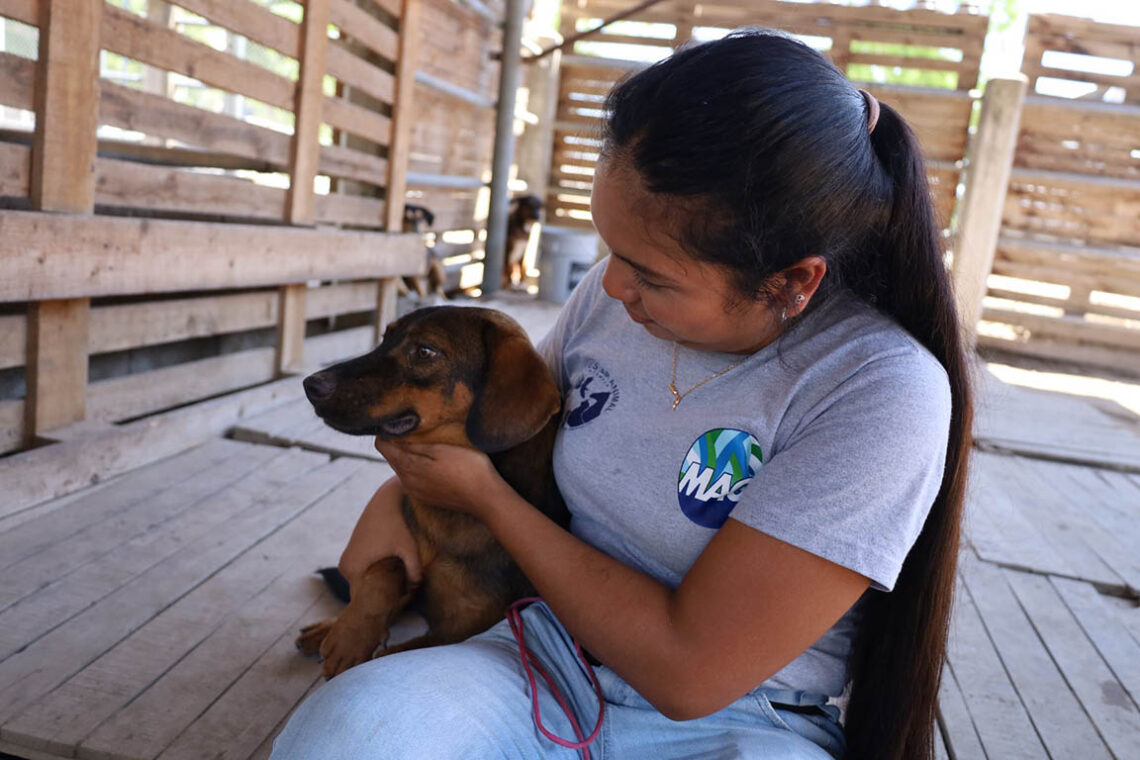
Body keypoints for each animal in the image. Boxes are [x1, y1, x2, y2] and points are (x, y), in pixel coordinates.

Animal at [296, 306, 568, 678]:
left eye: (425, 352)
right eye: (385, 337)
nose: (311, 384)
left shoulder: (460, 630)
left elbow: (386, 654)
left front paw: (351, 639)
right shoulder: (406, 555)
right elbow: (388, 565)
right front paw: (351, 631)